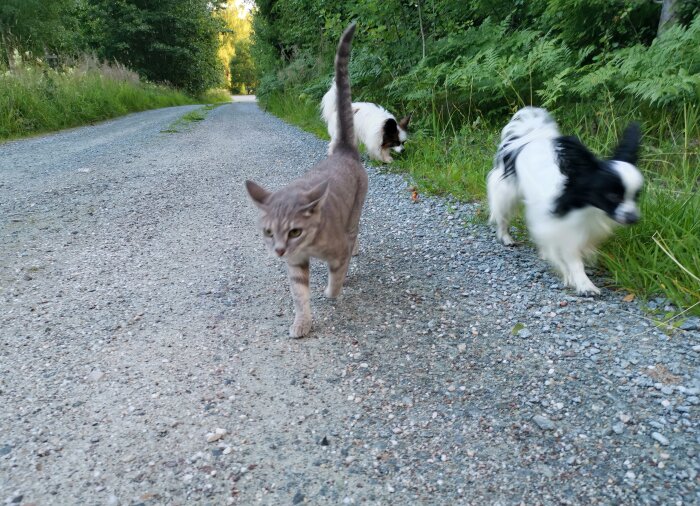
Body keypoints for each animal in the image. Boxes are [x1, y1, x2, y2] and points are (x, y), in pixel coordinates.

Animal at [245, 24, 366, 340]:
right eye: (268, 232)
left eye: (295, 231)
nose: (278, 250)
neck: (310, 246)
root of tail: (344, 150)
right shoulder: (295, 263)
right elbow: (299, 295)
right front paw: (302, 322)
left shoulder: (335, 249)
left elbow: (337, 274)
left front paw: (333, 292)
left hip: (355, 210)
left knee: (354, 233)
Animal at [486, 107, 644, 296]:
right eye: (613, 196)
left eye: (636, 196)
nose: (633, 218)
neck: (587, 209)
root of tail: (528, 137)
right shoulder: (563, 230)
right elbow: (571, 260)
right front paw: (582, 283)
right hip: (507, 194)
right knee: (503, 217)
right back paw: (506, 237)